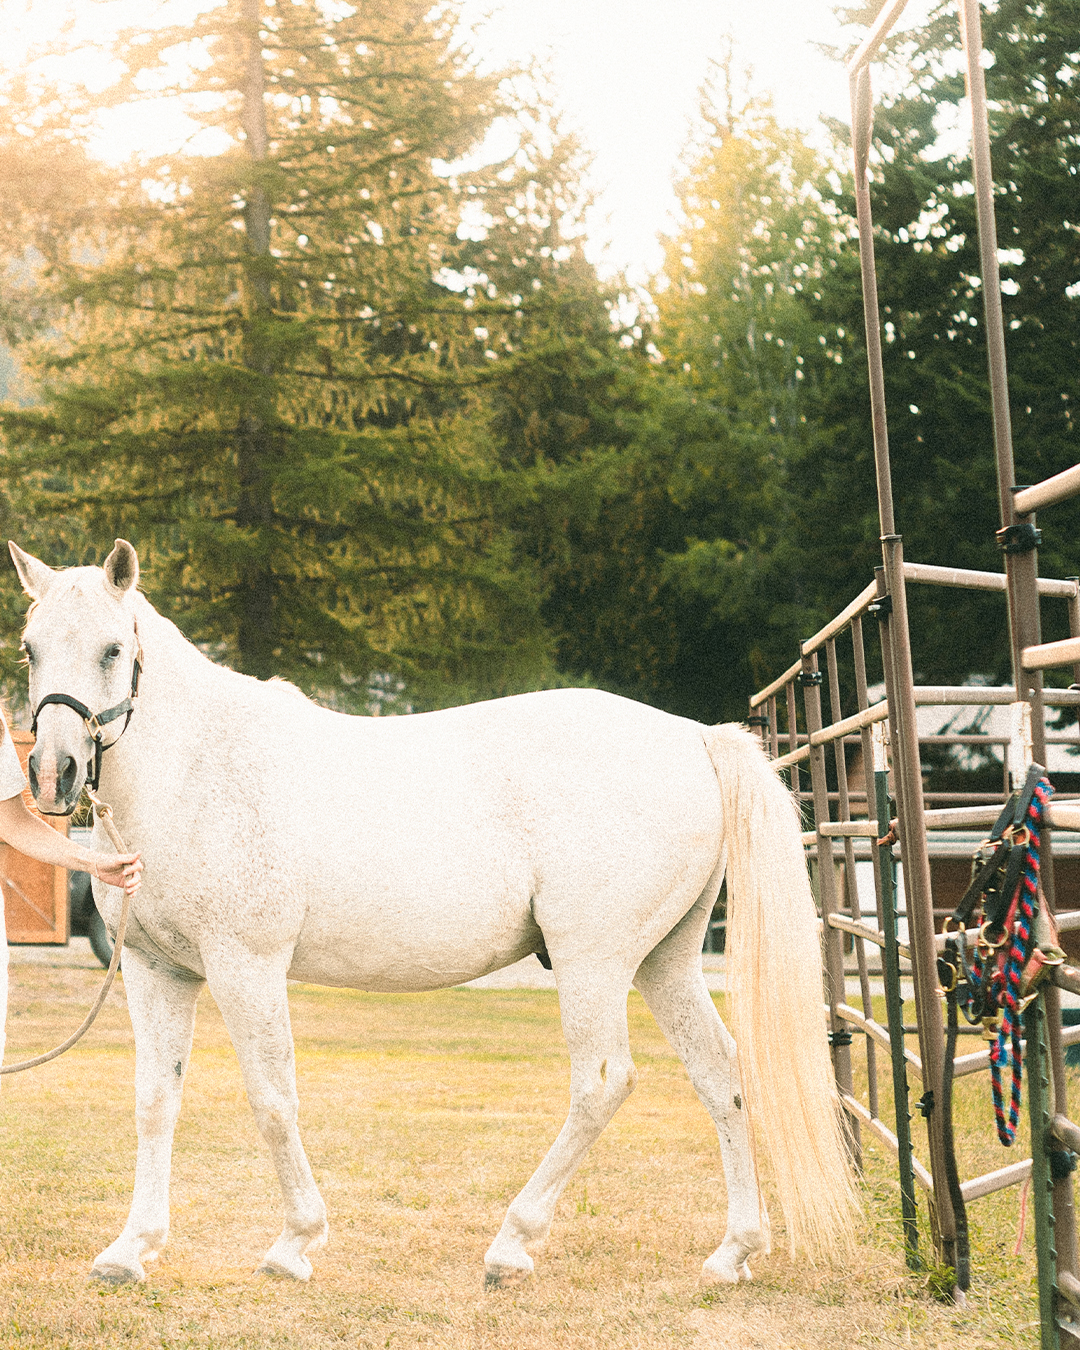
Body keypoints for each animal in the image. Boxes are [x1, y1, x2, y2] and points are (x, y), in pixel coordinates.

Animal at [7, 538, 857, 1287]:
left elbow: (272, 1099)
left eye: (112, 649)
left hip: (593, 962)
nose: (53, 774)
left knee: (602, 1082)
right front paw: (130, 1250)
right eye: (29, 649)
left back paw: (512, 1245)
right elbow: (156, 1100)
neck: (200, 769)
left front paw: (294, 1243)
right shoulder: (157, 970)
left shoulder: (246, 967)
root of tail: (694, 738)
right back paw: (732, 1252)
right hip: (665, 961)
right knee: (721, 1073)